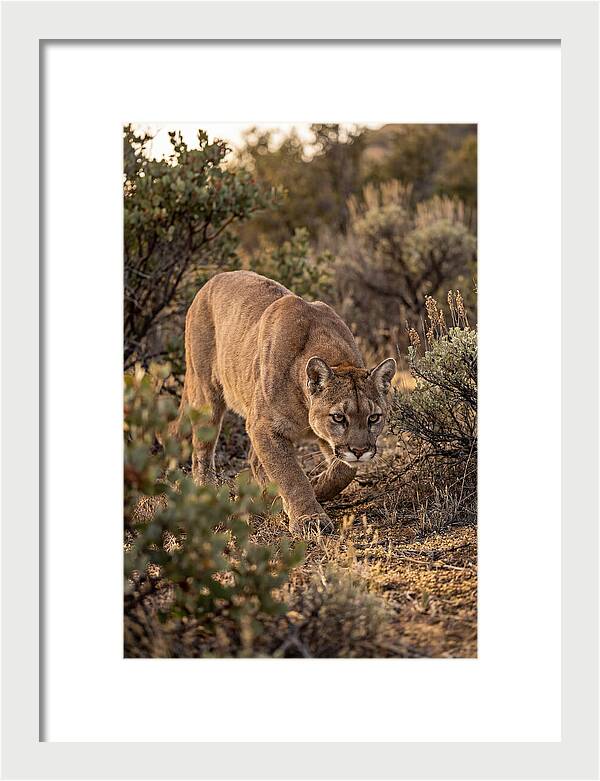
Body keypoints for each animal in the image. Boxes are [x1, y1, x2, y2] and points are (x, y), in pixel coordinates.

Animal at [174, 270, 396, 535]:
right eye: (339, 417)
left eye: (374, 418)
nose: (360, 451)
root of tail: (213, 279)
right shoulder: (264, 426)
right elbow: (290, 474)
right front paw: (309, 518)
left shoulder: (322, 438)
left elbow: (344, 470)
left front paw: (316, 487)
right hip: (207, 394)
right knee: (202, 451)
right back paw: (207, 490)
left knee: (254, 460)